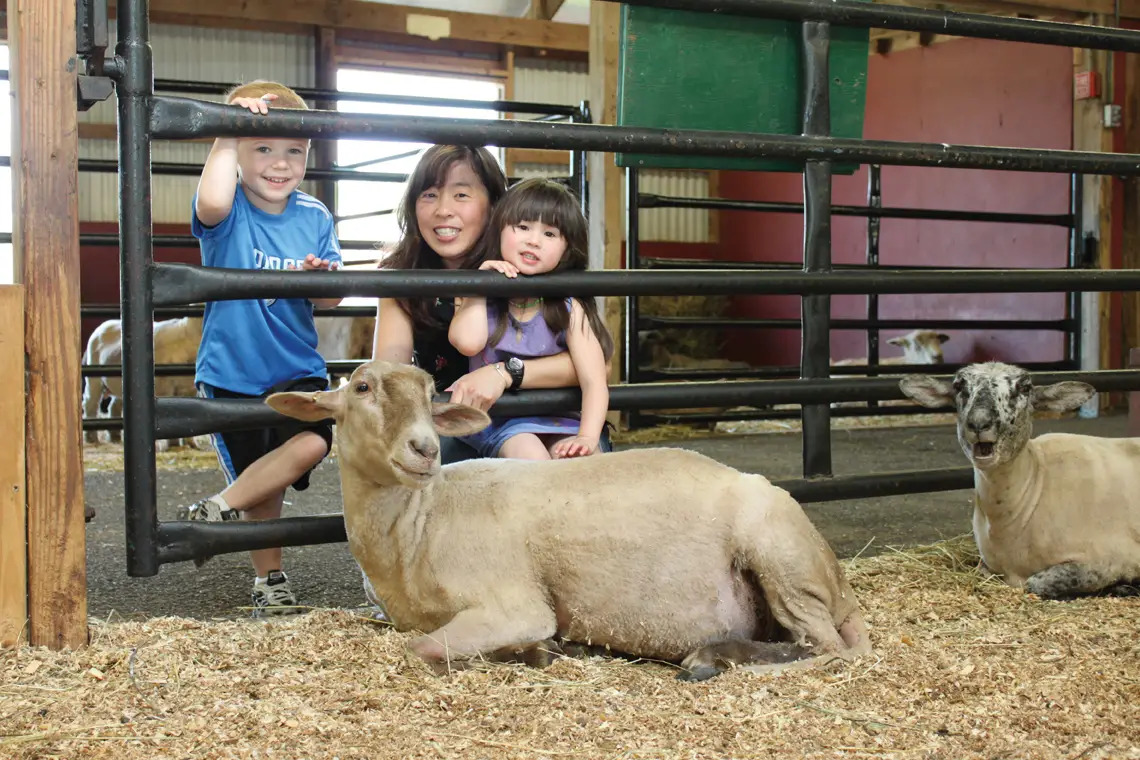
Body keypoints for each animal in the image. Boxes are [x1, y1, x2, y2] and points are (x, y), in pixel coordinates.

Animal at [269, 360, 870, 679]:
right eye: (363, 388)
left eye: (430, 396)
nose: (425, 448)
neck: (418, 526)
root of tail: (839, 581)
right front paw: (556, 649)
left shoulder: (513, 605)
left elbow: (423, 650)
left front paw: (531, 652)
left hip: (780, 556)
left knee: (827, 649)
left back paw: (713, 657)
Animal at [898, 362, 1140, 601]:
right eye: (959, 386)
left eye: (1024, 388)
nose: (978, 423)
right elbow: (983, 569)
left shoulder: (1110, 560)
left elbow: (1037, 583)